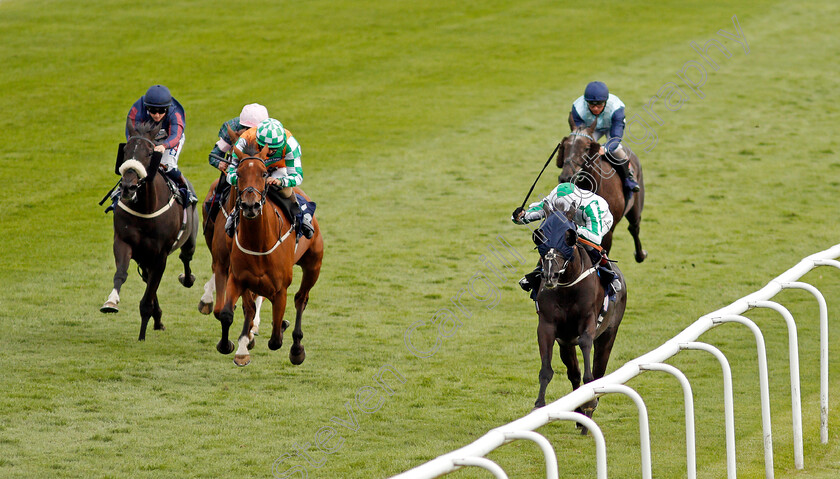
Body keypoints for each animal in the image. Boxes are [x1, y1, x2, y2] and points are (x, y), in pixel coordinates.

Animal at [101, 121, 199, 342]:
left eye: (148, 153)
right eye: (126, 151)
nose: (128, 187)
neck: (144, 208)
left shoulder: (160, 255)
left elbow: (149, 295)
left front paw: (142, 334)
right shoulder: (123, 242)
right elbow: (121, 274)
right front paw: (111, 302)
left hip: (189, 239)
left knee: (185, 257)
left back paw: (187, 279)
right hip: (143, 258)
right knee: (148, 279)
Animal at [217, 148, 322, 366]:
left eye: (264, 174)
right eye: (238, 173)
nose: (251, 206)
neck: (258, 242)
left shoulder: (280, 290)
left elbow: (275, 339)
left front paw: (282, 328)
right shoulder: (237, 278)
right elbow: (227, 314)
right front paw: (230, 345)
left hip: (313, 265)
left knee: (301, 299)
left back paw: (297, 348)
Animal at [536, 214, 628, 432]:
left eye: (565, 245)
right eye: (543, 247)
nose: (550, 276)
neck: (567, 288)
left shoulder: (588, 321)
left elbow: (586, 346)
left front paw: (589, 402)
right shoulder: (547, 326)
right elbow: (546, 369)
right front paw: (539, 405)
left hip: (608, 334)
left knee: (599, 370)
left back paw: (588, 412)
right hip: (565, 343)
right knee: (574, 373)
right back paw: (579, 415)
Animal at [556, 119, 648, 262]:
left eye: (586, 148)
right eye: (565, 146)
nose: (566, 176)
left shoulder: (607, 232)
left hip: (635, 208)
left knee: (634, 227)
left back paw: (640, 255)